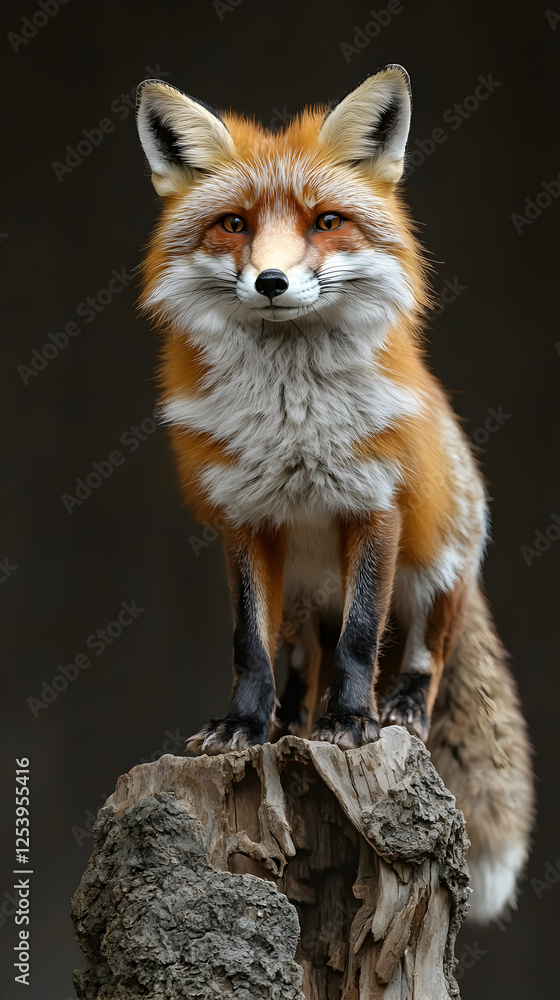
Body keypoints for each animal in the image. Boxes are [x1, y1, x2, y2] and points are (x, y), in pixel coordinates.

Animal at [135, 65, 534, 923]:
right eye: (233, 225)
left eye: (326, 222)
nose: (272, 282)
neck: (293, 420)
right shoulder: (246, 517)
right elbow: (247, 645)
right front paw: (247, 725)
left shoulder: (372, 505)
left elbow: (359, 636)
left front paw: (352, 722)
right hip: (299, 594)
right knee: (295, 661)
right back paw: (289, 719)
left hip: (441, 568)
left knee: (422, 653)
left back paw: (396, 711)